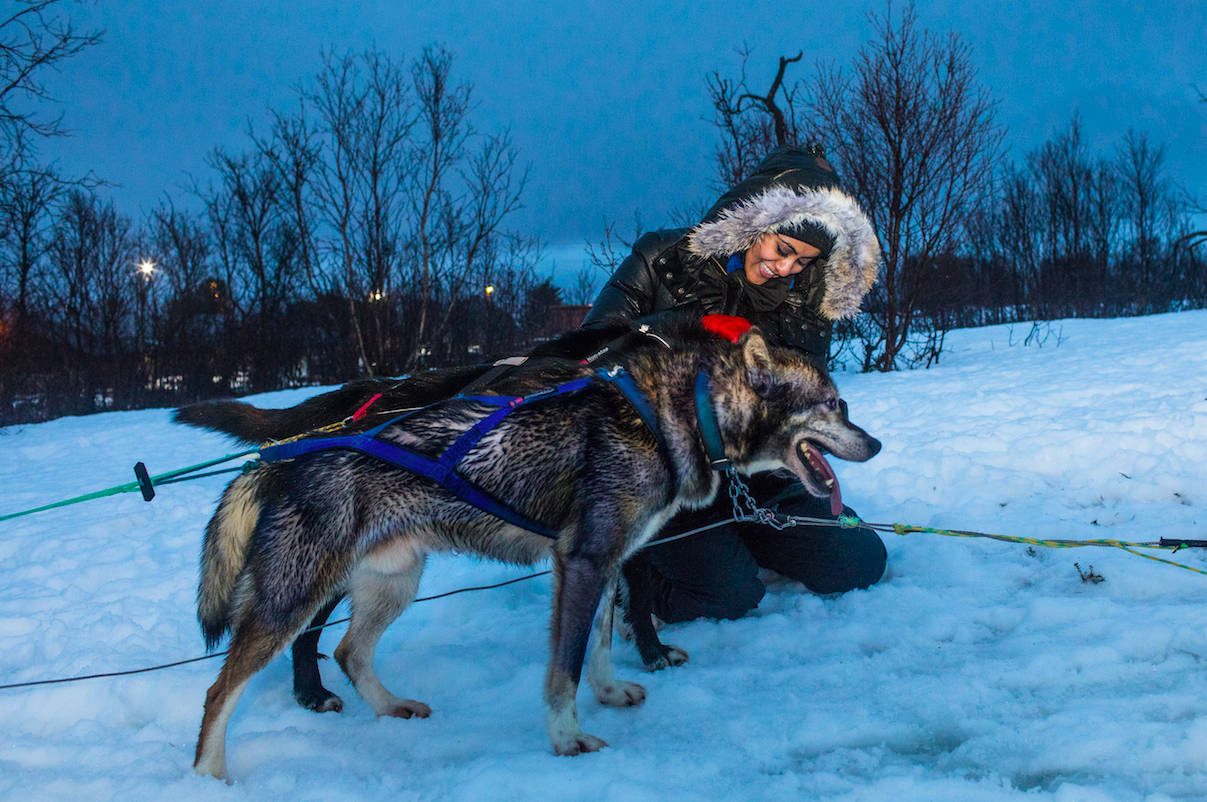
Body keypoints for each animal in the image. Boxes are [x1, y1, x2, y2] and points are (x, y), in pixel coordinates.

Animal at [183, 318, 878, 777]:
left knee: (353, 652)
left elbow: (600, 642)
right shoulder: (584, 560)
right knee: (223, 690)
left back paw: (392, 706)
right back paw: (212, 776)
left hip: (393, 582)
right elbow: (564, 666)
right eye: (833, 404)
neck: (678, 413)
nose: (873, 444)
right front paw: (568, 739)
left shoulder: (607, 561)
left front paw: (611, 693)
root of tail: (287, 456)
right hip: (295, 596)